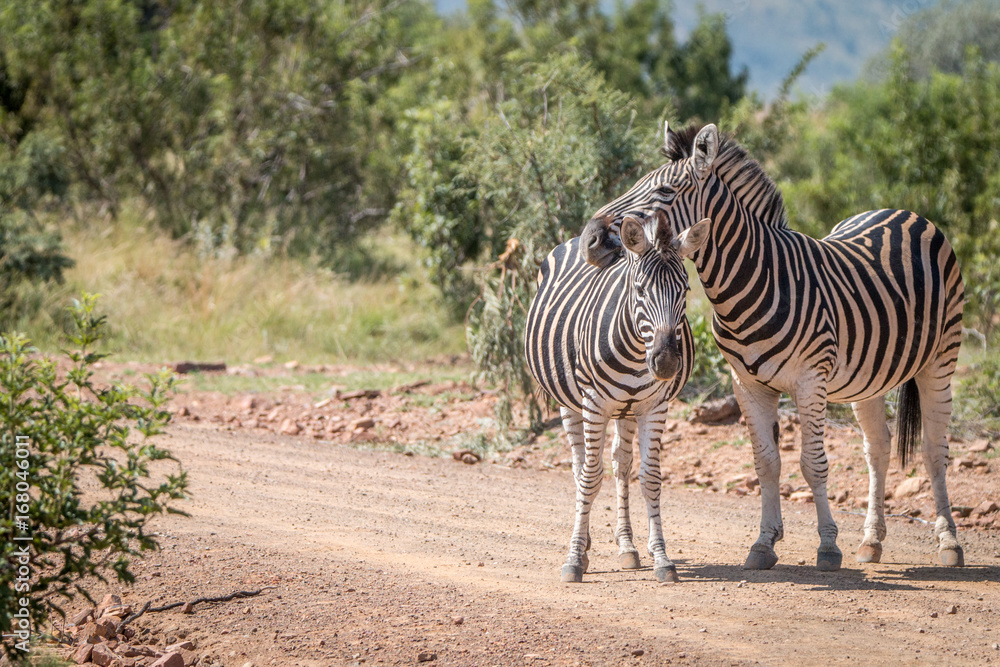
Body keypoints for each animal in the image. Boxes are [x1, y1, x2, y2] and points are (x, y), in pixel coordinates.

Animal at [524, 217, 704, 583]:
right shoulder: (593, 403)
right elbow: (590, 478)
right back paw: (585, 540)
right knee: (580, 465)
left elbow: (650, 478)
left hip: (627, 410)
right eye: (640, 290)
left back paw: (627, 546)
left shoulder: (655, 407)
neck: (636, 353)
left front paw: (661, 557)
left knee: (621, 465)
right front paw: (574, 558)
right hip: (570, 403)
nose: (666, 363)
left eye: (685, 291)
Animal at [579, 123, 965, 571]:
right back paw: (871, 541)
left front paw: (827, 547)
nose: (589, 239)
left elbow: (812, 464)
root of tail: (904, 212)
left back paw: (948, 543)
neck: (754, 281)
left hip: (941, 357)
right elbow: (766, 463)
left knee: (934, 447)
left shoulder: (811, 380)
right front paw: (764, 544)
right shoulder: (747, 385)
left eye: (664, 191)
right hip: (870, 375)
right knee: (879, 447)